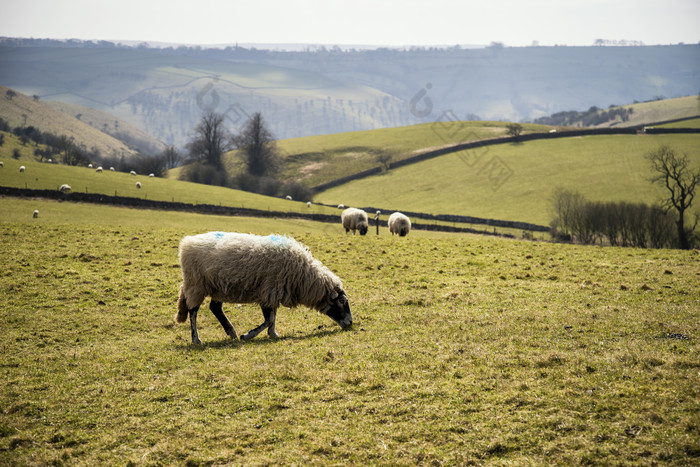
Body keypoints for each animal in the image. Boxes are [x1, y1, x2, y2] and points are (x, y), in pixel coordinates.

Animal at [175, 233, 350, 346]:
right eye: (342, 301)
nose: (350, 323)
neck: (303, 276)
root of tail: (187, 243)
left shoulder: (274, 292)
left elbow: (273, 317)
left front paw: (273, 334)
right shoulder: (269, 290)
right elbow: (270, 318)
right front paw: (248, 335)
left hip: (217, 286)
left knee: (215, 307)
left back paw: (231, 331)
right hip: (196, 284)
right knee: (193, 311)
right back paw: (196, 339)